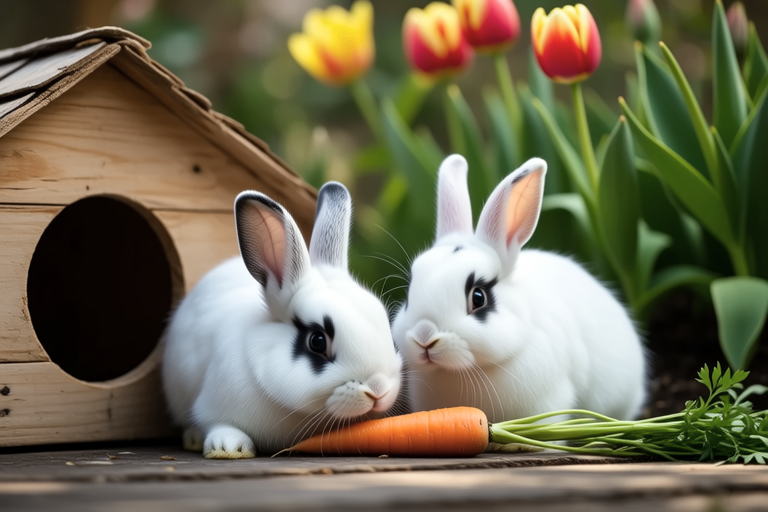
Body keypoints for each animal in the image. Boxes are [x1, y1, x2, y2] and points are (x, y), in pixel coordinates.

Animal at [162, 182, 403, 458]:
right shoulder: (212, 404)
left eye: (389, 333)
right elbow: (218, 423)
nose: (378, 389)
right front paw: (228, 447)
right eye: (317, 341)